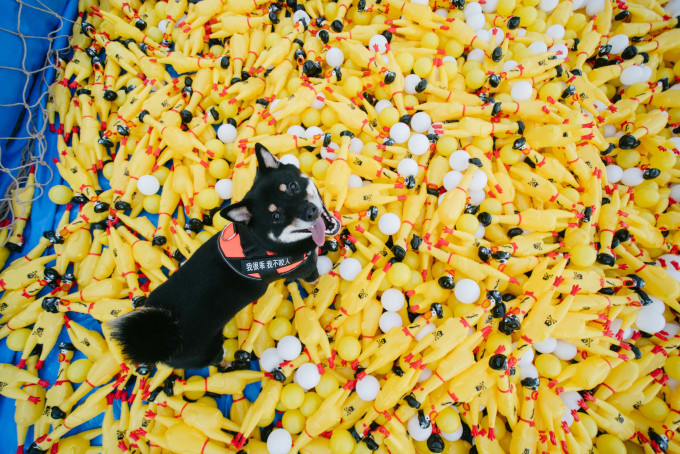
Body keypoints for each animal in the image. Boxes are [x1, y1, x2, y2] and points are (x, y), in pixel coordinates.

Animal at [110, 144, 340, 370]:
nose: (310, 211)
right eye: (277, 217)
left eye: (292, 186)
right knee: (216, 360)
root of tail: (161, 337)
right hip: (207, 351)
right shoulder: (306, 268)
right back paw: (230, 363)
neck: (260, 242)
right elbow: (314, 278)